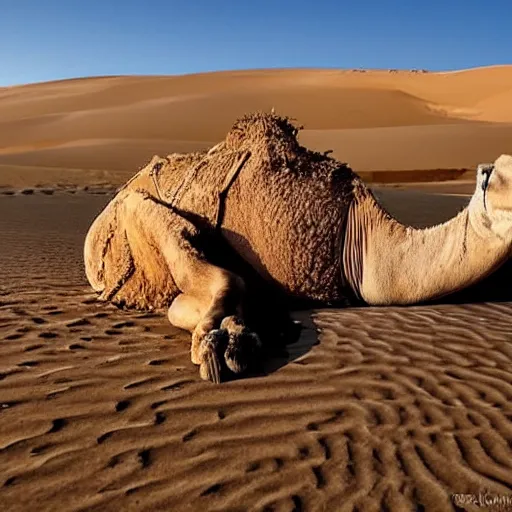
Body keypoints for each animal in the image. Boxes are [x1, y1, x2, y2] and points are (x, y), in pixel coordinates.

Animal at [83, 113, 512, 384]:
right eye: (504, 177)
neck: (356, 237)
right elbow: (222, 283)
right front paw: (223, 343)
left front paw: (248, 332)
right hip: (125, 214)